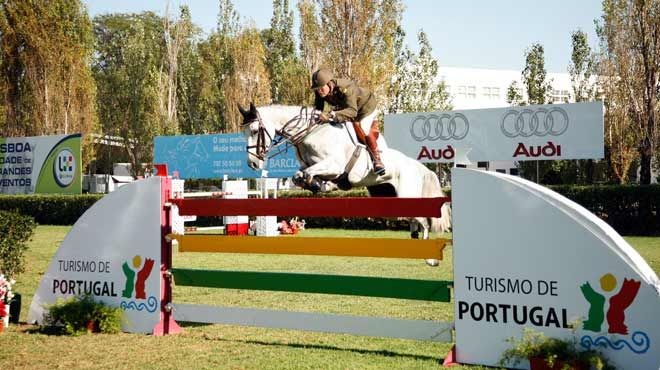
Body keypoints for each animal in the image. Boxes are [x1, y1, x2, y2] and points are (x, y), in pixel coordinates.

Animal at [240, 102, 452, 244]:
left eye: (254, 130)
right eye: (243, 133)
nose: (252, 163)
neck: (310, 134)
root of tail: (417, 166)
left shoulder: (334, 165)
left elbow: (308, 174)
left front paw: (320, 184)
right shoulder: (311, 167)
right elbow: (299, 176)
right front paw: (320, 185)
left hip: (406, 194)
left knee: (424, 221)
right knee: (415, 220)